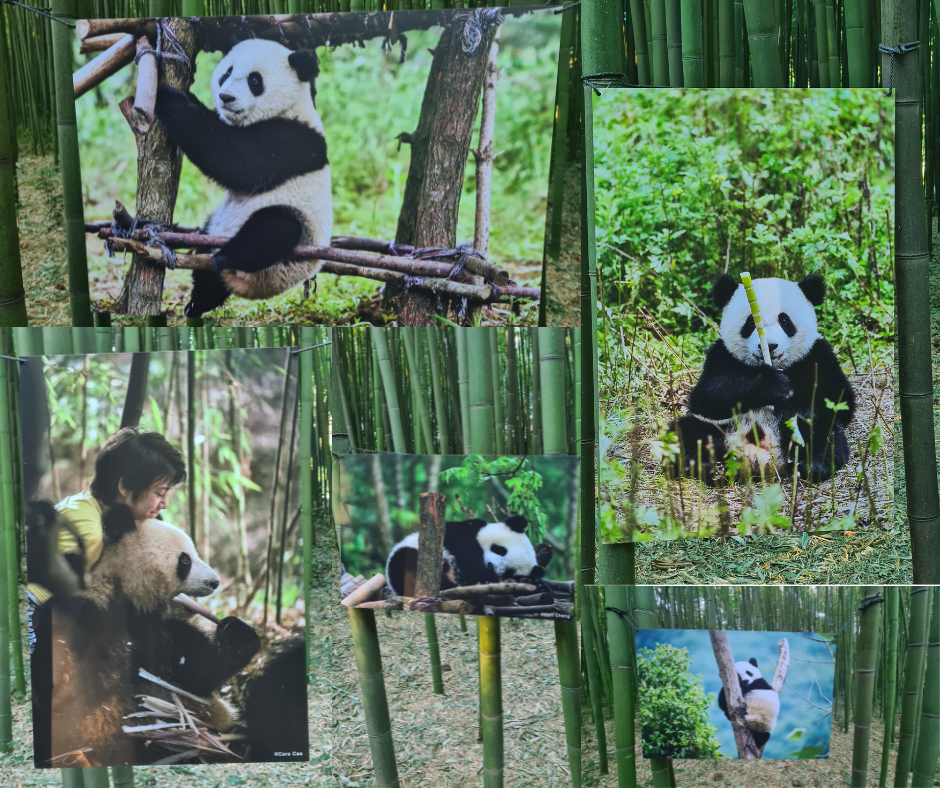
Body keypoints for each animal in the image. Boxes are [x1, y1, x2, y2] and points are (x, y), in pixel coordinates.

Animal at [29, 503, 260, 767]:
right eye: (185, 560)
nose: (215, 582)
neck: (117, 590)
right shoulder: (84, 616)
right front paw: (61, 668)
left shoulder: (156, 628)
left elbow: (197, 674)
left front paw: (237, 635)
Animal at [154, 39, 332, 318]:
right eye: (227, 73)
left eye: (254, 80)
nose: (226, 97)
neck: (290, 106)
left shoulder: (291, 139)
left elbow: (235, 161)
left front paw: (169, 98)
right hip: (216, 226)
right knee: (209, 260)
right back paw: (199, 301)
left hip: (303, 228)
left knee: (275, 229)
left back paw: (227, 257)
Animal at [673, 274, 855, 485]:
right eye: (750, 323)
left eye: (784, 320)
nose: (769, 346)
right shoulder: (722, 356)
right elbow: (706, 397)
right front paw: (772, 384)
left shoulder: (817, 356)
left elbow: (839, 400)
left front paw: (792, 409)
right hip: (722, 427)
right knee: (686, 433)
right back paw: (713, 465)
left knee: (824, 435)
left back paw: (812, 465)